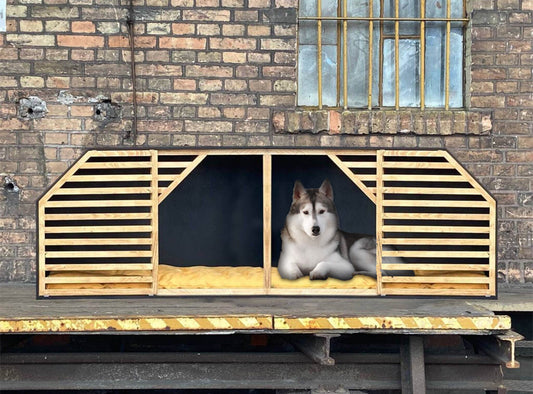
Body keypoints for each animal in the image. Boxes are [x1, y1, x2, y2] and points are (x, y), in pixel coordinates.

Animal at [276, 180, 406, 282]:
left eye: (321, 211)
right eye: (305, 212)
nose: (315, 229)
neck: (311, 242)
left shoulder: (345, 266)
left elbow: (324, 263)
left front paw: (318, 272)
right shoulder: (285, 261)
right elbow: (290, 267)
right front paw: (295, 273)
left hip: (356, 250)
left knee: (382, 274)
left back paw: (358, 273)